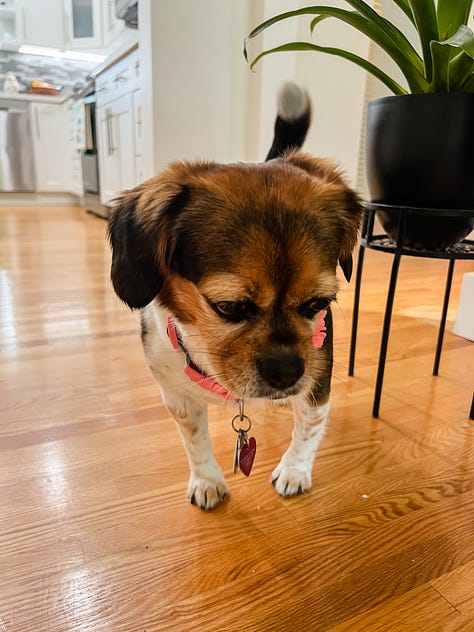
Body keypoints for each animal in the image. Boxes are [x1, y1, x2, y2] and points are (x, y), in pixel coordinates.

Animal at [109, 82, 364, 508]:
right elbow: (195, 441)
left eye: (318, 304)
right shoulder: (177, 399)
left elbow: (309, 430)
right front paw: (207, 480)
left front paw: (295, 471)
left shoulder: (318, 383)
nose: (287, 372)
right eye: (228, 307)